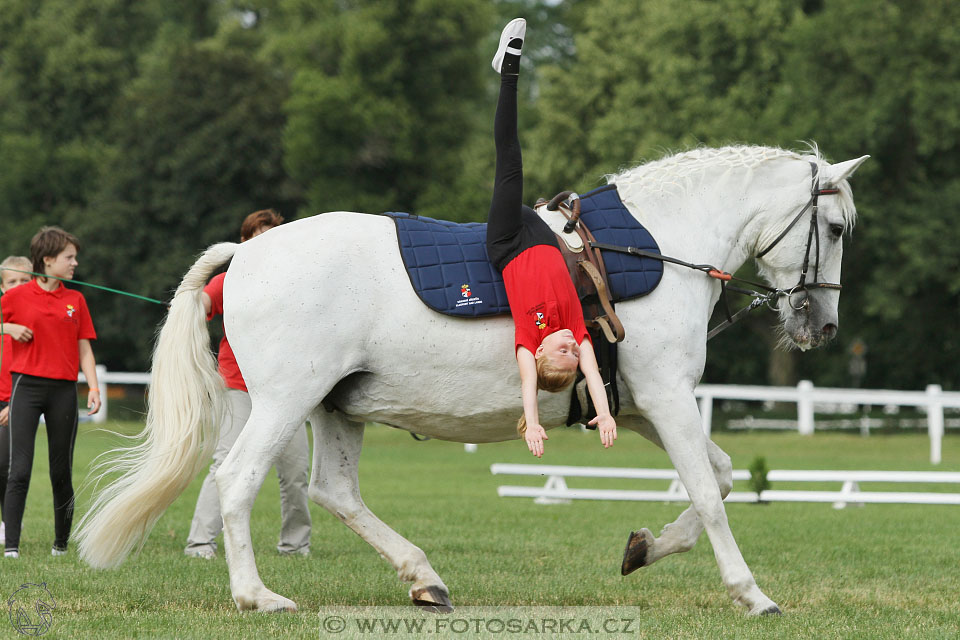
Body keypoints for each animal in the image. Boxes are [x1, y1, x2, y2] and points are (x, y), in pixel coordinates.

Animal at [77, 144, 872, 616]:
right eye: (835, 230)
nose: (823, 326)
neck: (650, 247)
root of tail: (248, 253)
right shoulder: (669, 399)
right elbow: (709, 493)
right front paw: (751, 593)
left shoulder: (642, 404)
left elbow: (725, 475)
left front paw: (646, 548)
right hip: (285, 402)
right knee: (238, 478)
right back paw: (256, 595)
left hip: (337, 407)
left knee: (335, 492)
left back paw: (423, 576)